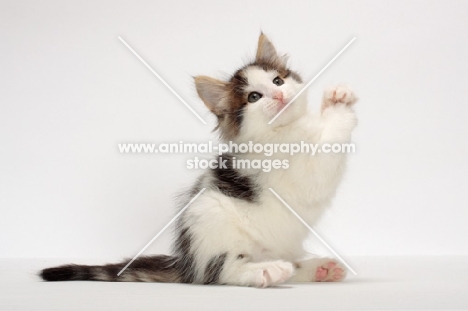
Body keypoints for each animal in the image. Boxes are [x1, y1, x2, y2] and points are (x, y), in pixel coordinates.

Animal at [40, 33, 358, 288]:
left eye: (278, 80)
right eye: (254, 97)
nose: (279, 95)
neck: (285, 130)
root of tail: (185, 263)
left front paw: (336, 96)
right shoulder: (304, 174)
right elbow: (330, 146)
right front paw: (338, 106)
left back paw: (318, 269)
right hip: (208, 217)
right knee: (218, 272)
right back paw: (266, 271)